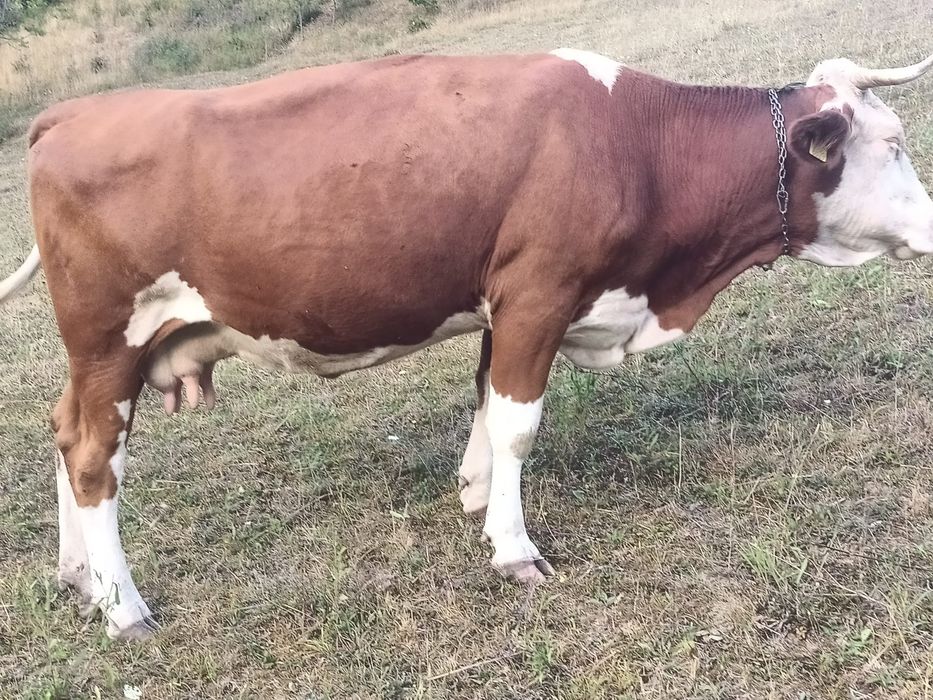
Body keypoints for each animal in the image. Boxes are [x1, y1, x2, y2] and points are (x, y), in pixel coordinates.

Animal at [1, 49, 932, 641]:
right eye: (891, 146)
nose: (930, 227)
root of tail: (71, 113)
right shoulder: (539, 291)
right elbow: (520, 420)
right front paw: (514, 549)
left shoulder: (504, 302)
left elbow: (488, 400)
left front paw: (479, 499)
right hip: (109, 334)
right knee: (94, 456)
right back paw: (123, 607)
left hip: (102, 353)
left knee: (61, 430)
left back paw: (78, 576)